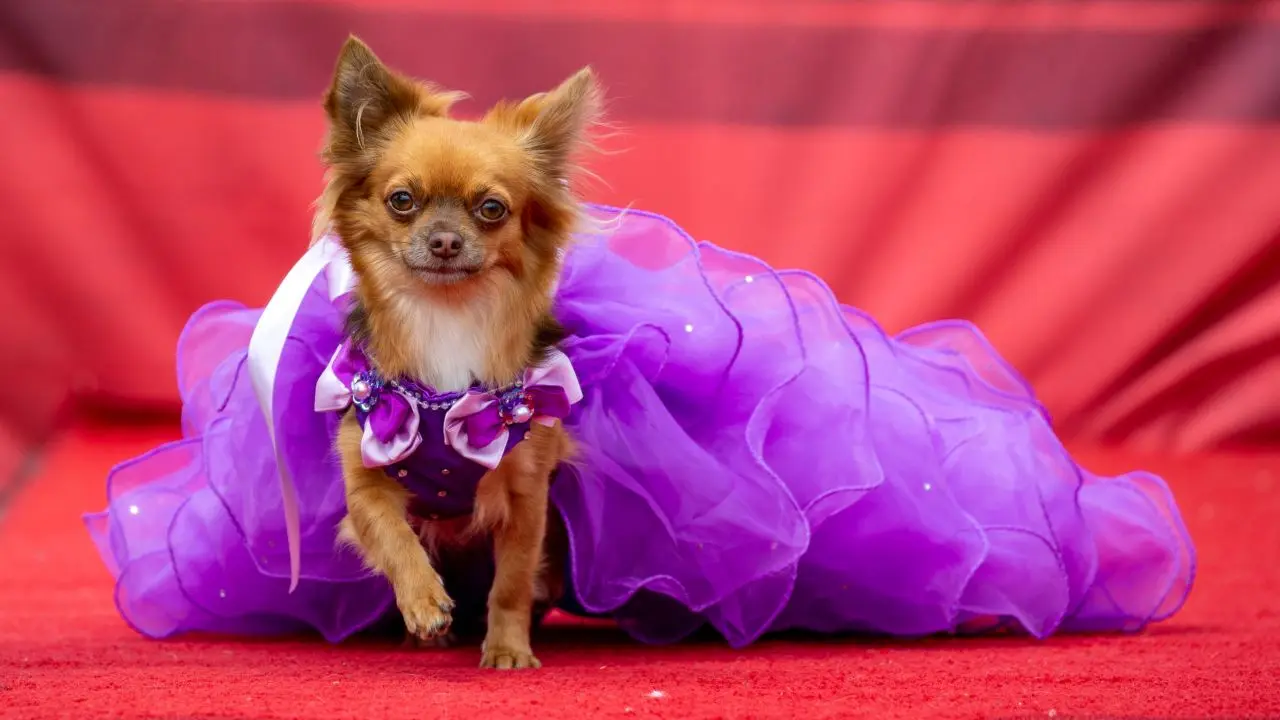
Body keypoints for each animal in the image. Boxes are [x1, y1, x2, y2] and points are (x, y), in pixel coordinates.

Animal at [320, 37, 599, 666]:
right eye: (401, 200)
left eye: (491, 208)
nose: (445, 240)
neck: (447, 316)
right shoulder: (363, 480)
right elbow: (393, 535)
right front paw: (424, 603)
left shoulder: (526, 496)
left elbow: (513, 581)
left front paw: (508, 649)